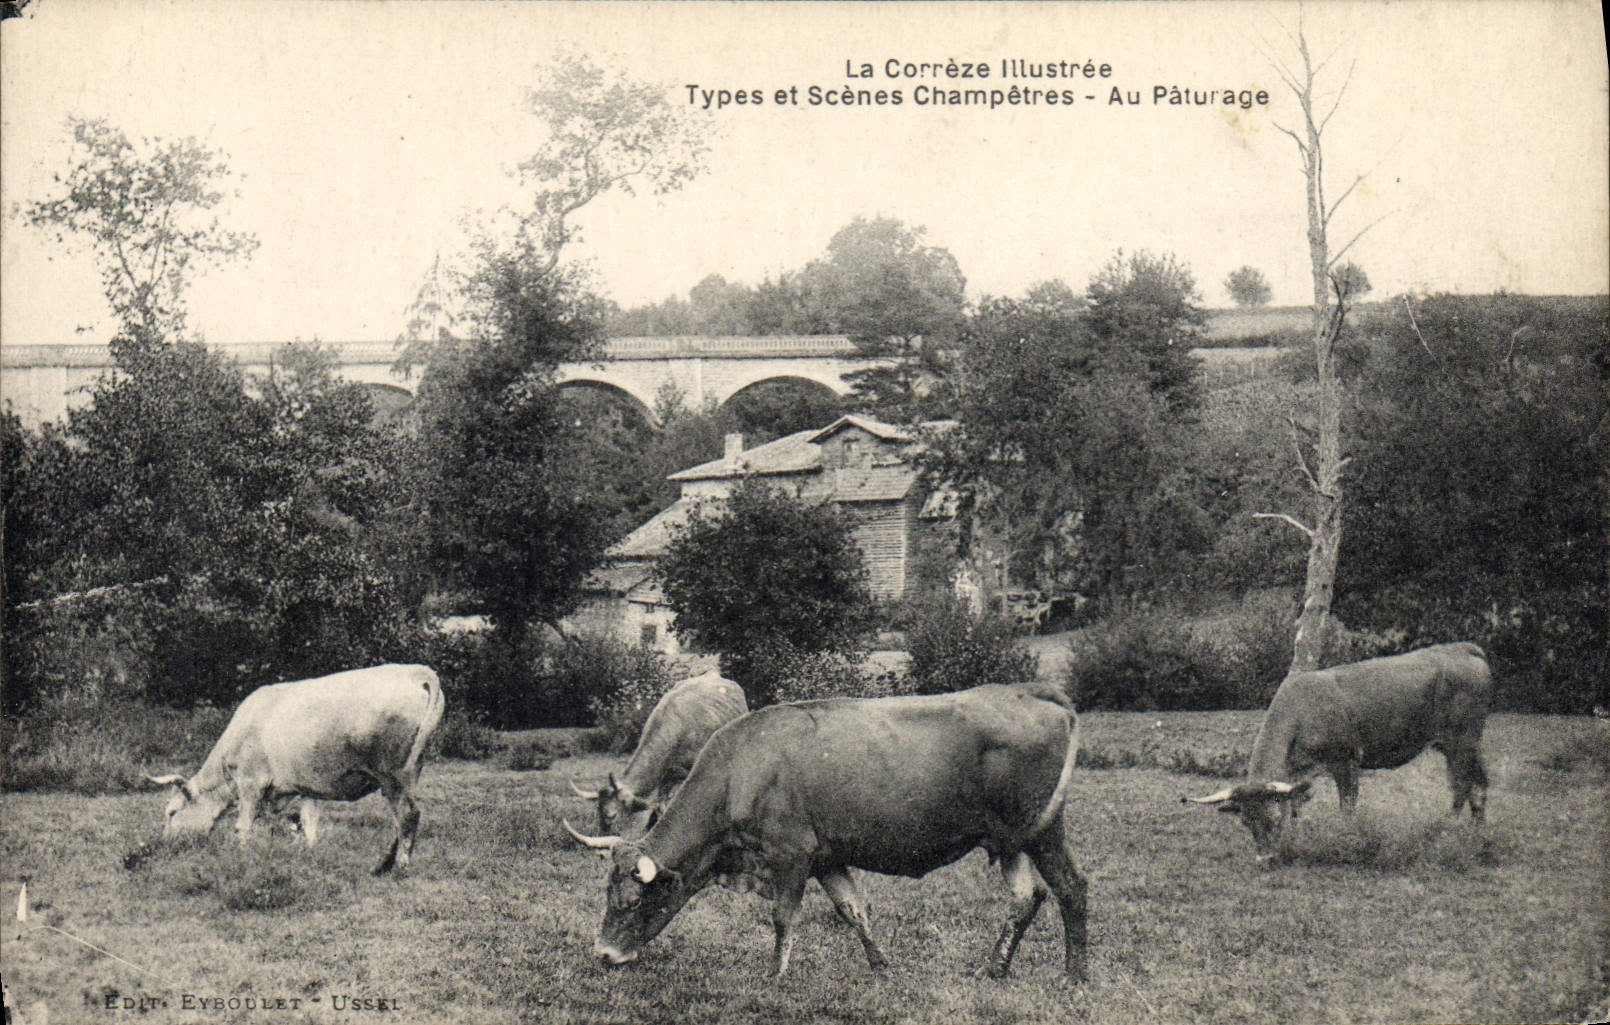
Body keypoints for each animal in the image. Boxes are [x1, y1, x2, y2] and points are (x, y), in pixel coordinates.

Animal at [139, 664, 445, 876]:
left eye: (172, 813)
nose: (163, 844)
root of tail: (416, 672)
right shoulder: (306, 787)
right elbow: (309, 823)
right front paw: (308, 857)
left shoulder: (251, 782)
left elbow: (243, 826)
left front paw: (240, 859)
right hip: (412, 769)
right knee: (403, 818)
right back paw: (382, 865)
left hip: (394, 773)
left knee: (407, 815)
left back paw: (399, 868)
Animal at [1185, 642, 1493, 858]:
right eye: (1246, 822)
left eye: (1272, 818)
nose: (1265, 859)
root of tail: (1463, 647)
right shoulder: (1297, 773)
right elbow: (1296, 805)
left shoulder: (1346, 759)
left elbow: (1347, 806)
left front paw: (1348, 839)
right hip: (1461, 744)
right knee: (1476, 785)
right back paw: (1476, 835)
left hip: (1461, 740)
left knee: (1463, 786)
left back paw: (1446, 831)